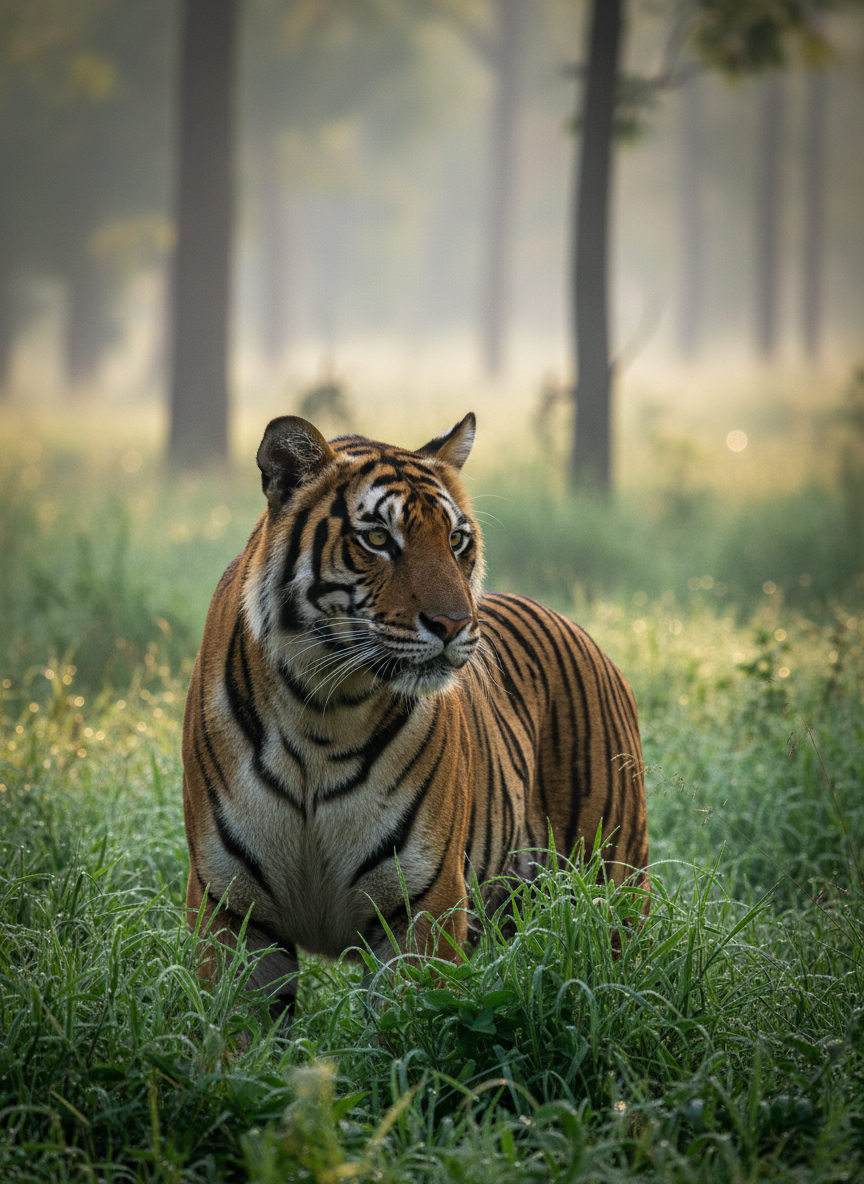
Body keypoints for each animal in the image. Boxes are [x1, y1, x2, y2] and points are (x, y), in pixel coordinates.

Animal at [182, 412, 648, 1019]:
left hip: (611, 884)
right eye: (379, 538)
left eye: (456, 540)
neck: (321, 711)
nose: (454, 624)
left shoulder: (422, 905)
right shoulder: (230, 908)